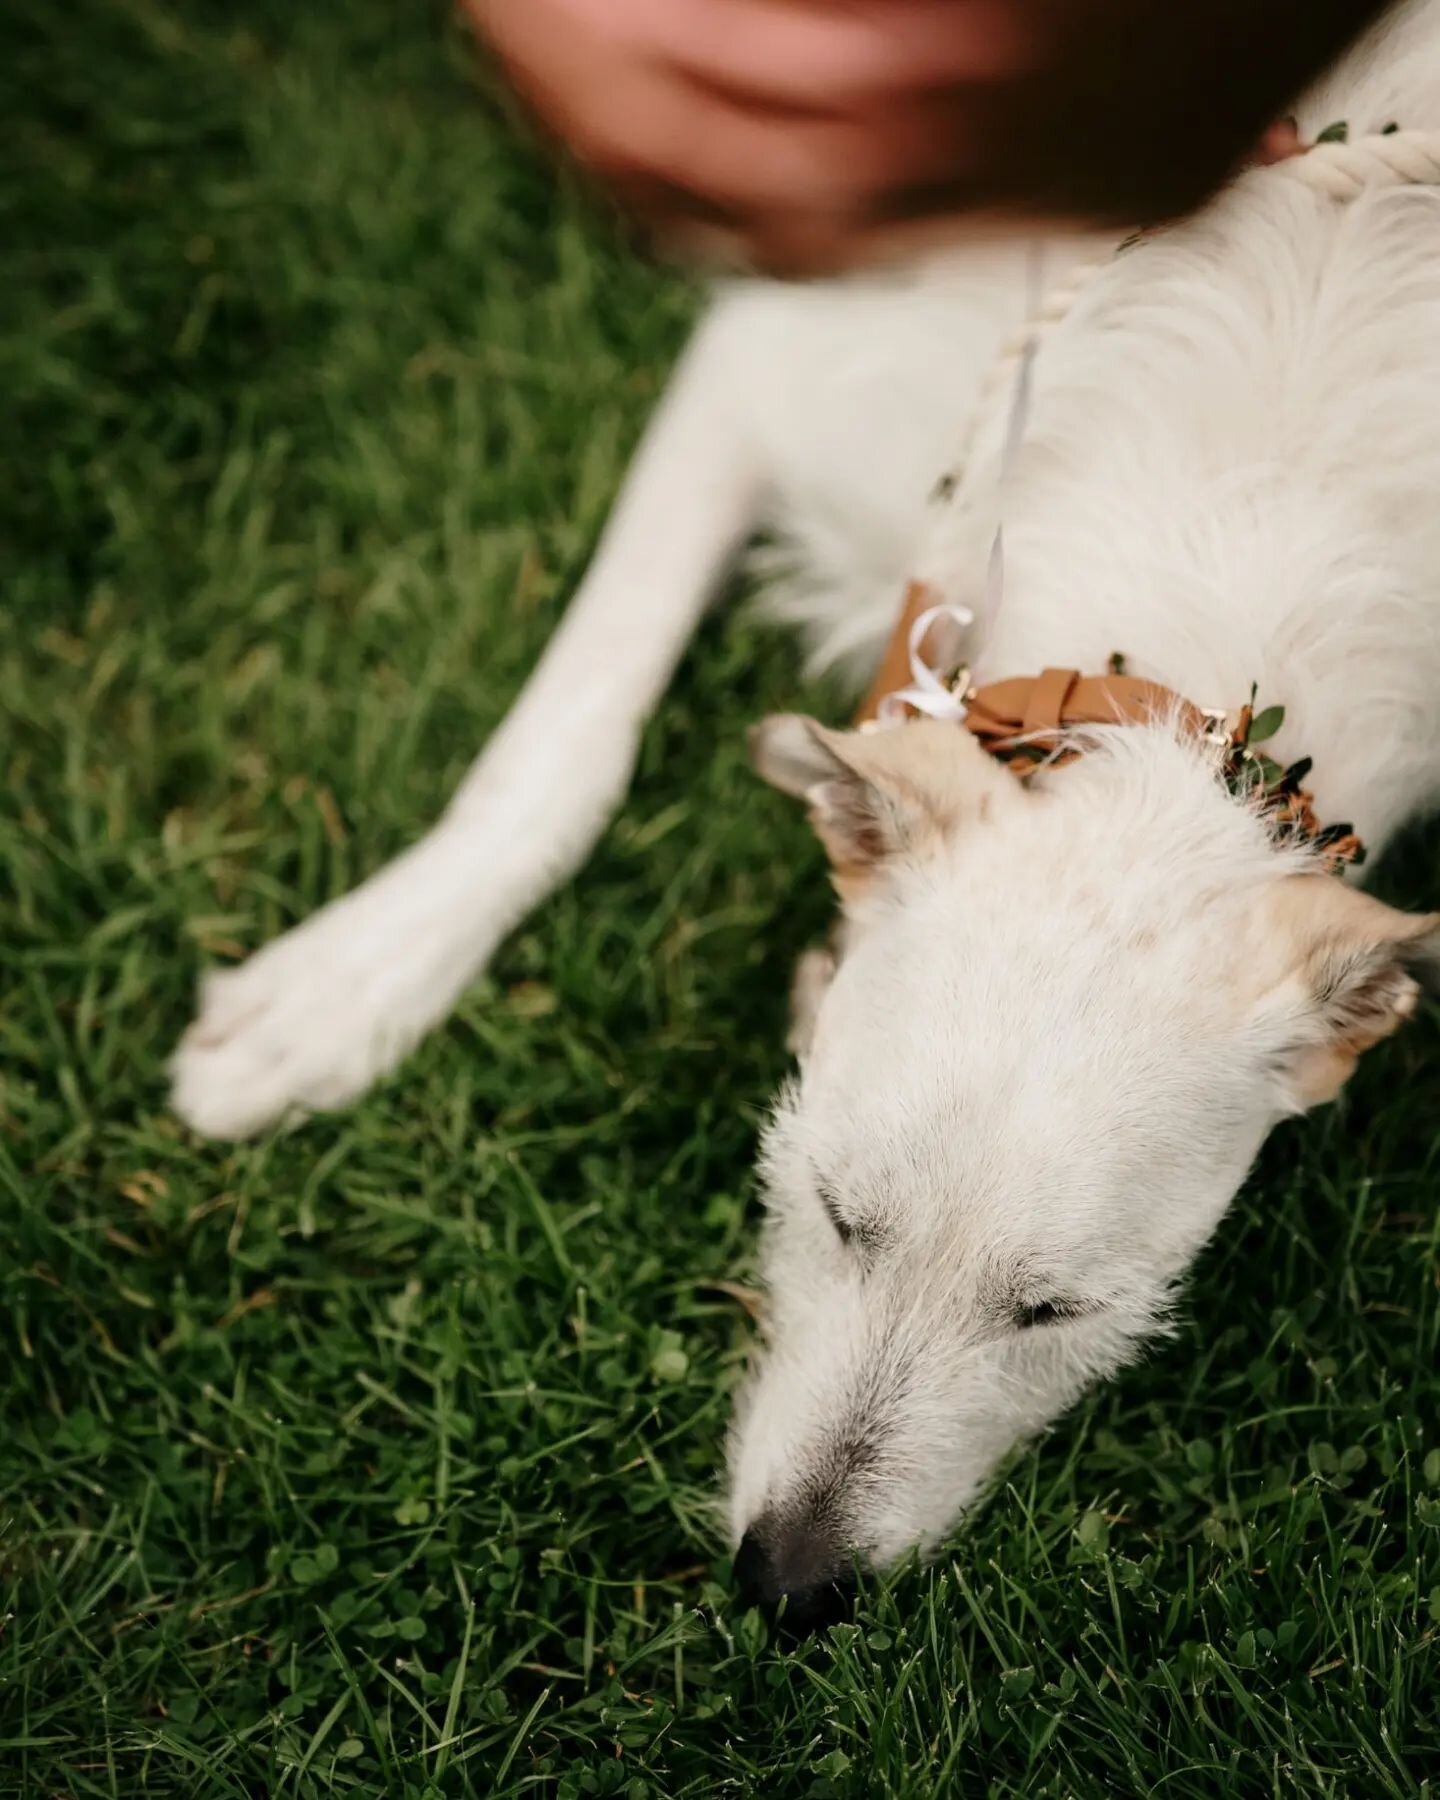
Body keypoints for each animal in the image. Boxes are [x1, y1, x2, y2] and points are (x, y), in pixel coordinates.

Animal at [177, 3, 1440, 1634]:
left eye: (1059, 1310)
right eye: (836, 1214)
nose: (789, 1587)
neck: (1254, 464)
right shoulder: (775, 362)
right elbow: (570, 739)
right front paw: (346, 986)